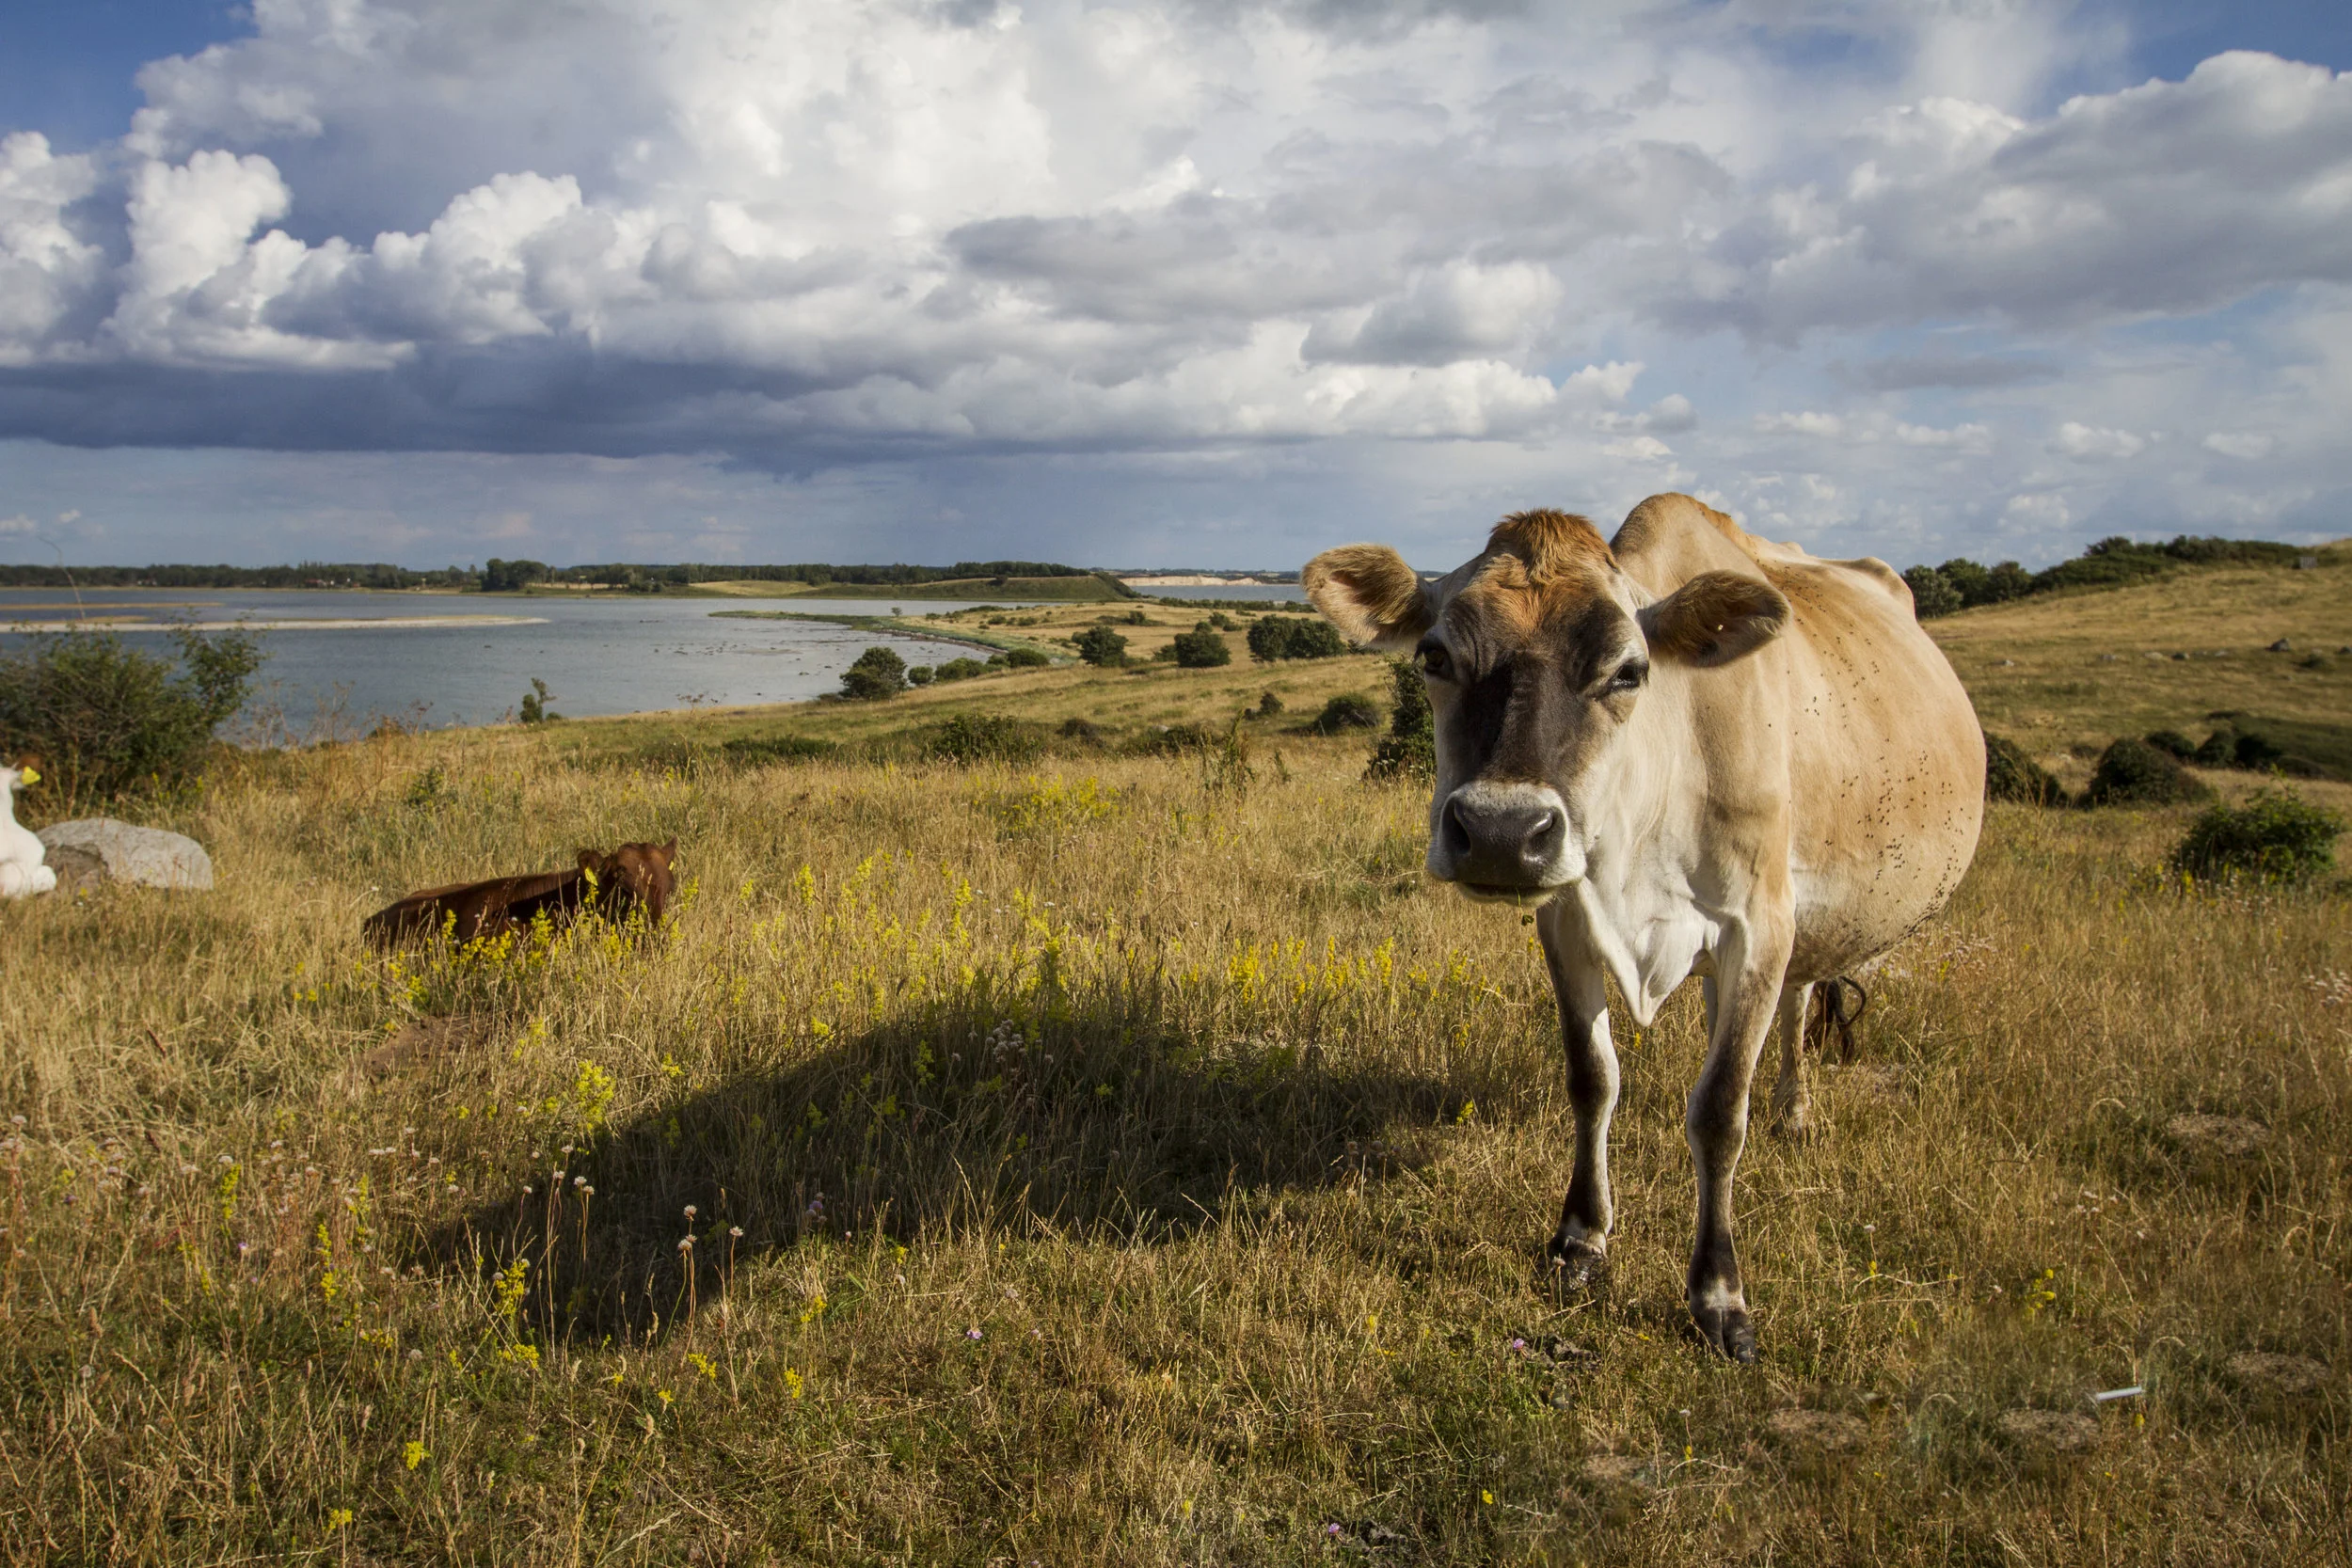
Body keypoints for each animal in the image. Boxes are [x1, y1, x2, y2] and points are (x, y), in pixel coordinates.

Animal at [1304, 494, 1982, 1362]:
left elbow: (1721, 1108)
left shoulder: (1759, 925)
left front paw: (1718, 1293)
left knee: (1796, 1005)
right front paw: (1580, 1238)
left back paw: (1794, 1110)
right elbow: (1593, 1077)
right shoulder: (1565, 914)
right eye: (1433, 656)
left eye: (1629, 669)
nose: (1500, 831)